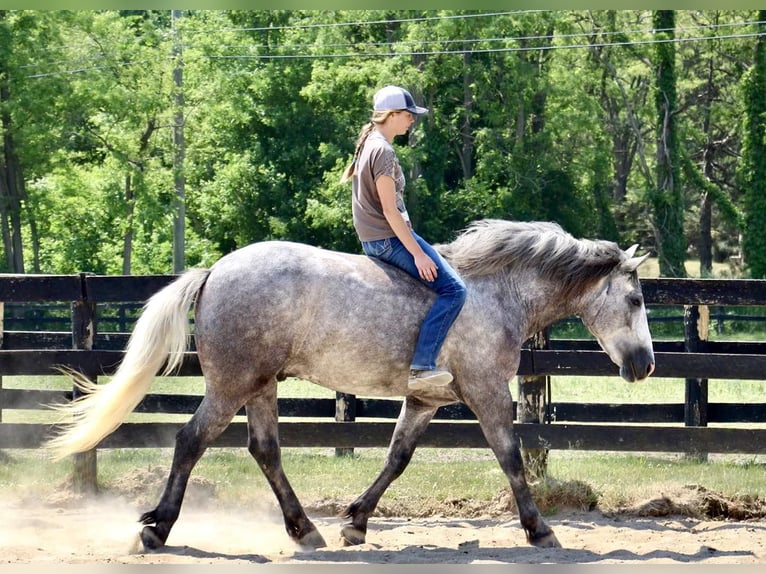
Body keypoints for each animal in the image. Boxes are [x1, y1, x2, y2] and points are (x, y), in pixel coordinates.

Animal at [48, 219, 656, 552]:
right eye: (634, 299)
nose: (645, 365)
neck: (494, 293)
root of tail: (214, 271)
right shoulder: (486, 392)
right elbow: (509, 456)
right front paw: (540, 531)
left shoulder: (424, 400)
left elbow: (396, 458)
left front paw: (355, 523)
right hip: (231, 385)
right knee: (190, 441)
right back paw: (158, 529)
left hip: (261, 386)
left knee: (265, 450)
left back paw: (304, 532)